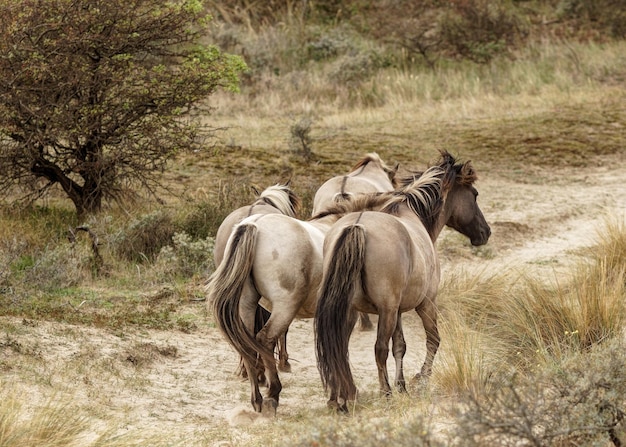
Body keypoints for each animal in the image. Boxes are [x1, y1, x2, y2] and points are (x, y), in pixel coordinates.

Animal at [314, 152, 490, 414]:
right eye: (475, 194)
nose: (485, 232)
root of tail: (357, 225)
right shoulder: (425, 303)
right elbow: (433, 340)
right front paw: (419, 378)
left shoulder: (397, 310)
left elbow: (400, 346)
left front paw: (403, 385)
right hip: (385, 311)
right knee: (378, 349)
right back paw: (384, 392)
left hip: (348, 310)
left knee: (337, 347)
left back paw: (340, 398)